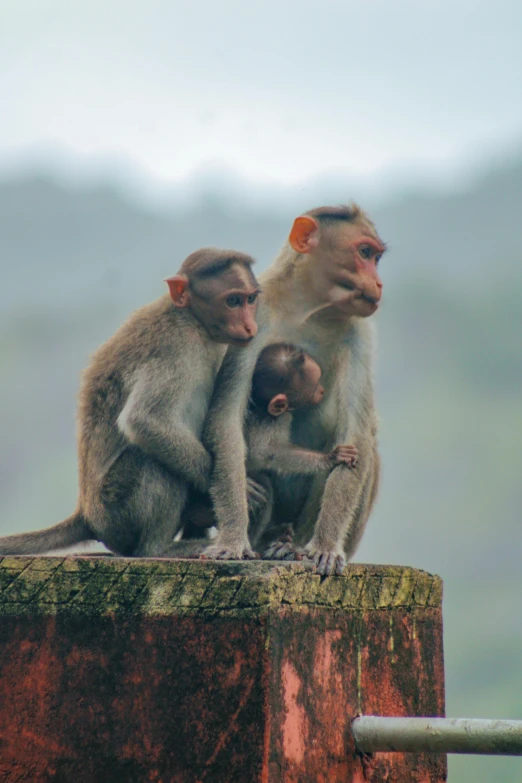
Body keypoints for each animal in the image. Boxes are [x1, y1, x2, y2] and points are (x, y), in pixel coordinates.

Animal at [0, 248, 260, 560]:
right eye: (232, 301)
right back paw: (160, 549)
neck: (193, 320)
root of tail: (87, 514)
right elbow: (144, 421)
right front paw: (245, 491)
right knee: (150, 459)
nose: (251, 326)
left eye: (250, 299)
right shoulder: (174, 347)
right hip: (116, 513)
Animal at [201, 205, 384, 576]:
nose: (378, 283)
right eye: (364, 253)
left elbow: (355, 435)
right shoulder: (253, 317)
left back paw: (294, 545)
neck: (309, 310)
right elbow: (226, 419)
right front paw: (232, 539)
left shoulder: (360, 332)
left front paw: (325, 546)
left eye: (376, 257)